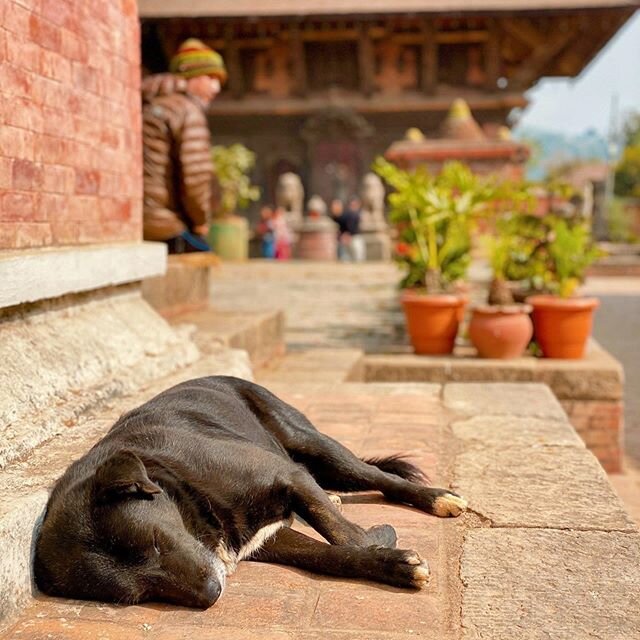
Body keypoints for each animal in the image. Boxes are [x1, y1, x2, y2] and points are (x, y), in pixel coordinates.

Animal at [35, 378, 468, 608]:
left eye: (155, 542)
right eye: (138, 595)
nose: (212, 594)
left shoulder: (287, 477)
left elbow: (346, 536)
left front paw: (382, 546)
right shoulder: (267, 537)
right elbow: (331, 555)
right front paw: (389, 561)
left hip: (314, 445)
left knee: (380, 476)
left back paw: (438, 498)